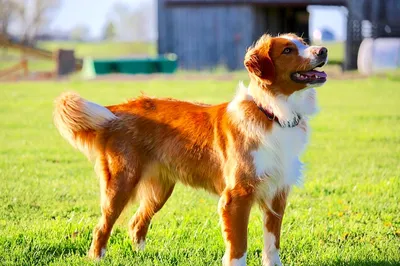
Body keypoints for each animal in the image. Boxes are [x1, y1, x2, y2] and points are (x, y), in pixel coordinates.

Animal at [54, 33, 328, 266]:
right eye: (288, 50)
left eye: (304, 42)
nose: (323, 50)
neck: (272, 112)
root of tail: (118, 110)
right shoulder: (237, 196)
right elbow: (238, 247)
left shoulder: (277, 192)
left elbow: (272, 245)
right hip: (121, 183)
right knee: (102, 227)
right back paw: (97, 258)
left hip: (159, 190)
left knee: (136, 223)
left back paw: (141, 257)